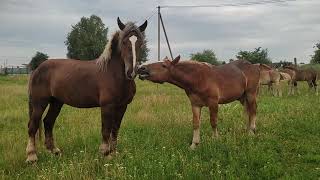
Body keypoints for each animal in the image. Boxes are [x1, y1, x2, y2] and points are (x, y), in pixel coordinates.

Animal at [25, 17, 148, 162]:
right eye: (123, 42)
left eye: (140, 43)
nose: (131, 72)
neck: (113, 74)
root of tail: (37, 69)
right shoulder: (107, 106)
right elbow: (106, 129)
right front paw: (105, 153)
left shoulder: (122, 106)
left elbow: (115, 129)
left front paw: (113, 153)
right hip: (39, 103)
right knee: (33, 126)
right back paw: (32, 156)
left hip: (56, 102)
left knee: (48, 122)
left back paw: (54, 151)